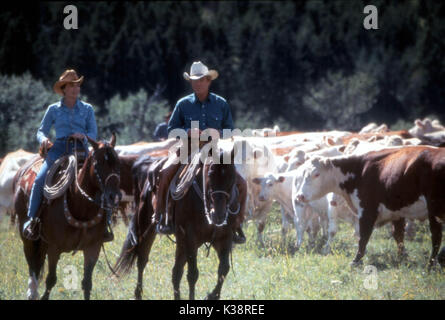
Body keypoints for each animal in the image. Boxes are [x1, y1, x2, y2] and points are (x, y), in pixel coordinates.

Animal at [14, 134, 121, 300]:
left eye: (117, 162)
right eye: (98, 164)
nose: (113, 196)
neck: (81, 206)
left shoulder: (93, 248)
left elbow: (87, 284)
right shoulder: (54, 248)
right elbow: (51, 280)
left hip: (42, 241)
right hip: (27, 236)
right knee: (32, 262)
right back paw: (32, 292)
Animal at [114, 148, 246, 300]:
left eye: (232, 176)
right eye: (210, 173)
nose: (219, 215)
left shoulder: (224, 238)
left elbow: (224, 269)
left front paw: (212, 296)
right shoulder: (190, 238)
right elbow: (193, 274)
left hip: (181, 243)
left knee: (176, 272)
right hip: (148, 228)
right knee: (142, 260)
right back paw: (138, 293)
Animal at [294, 146, 442, 268]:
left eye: (316, 174)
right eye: (303, 174)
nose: (300, 196)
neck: (359, 171)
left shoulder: (367, 211)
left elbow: (363, 236)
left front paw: (356, 261)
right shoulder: (397, 212)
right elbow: (398, 236)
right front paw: (402, 258)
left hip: (435, 210)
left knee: (436, 236)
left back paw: (430, 265)